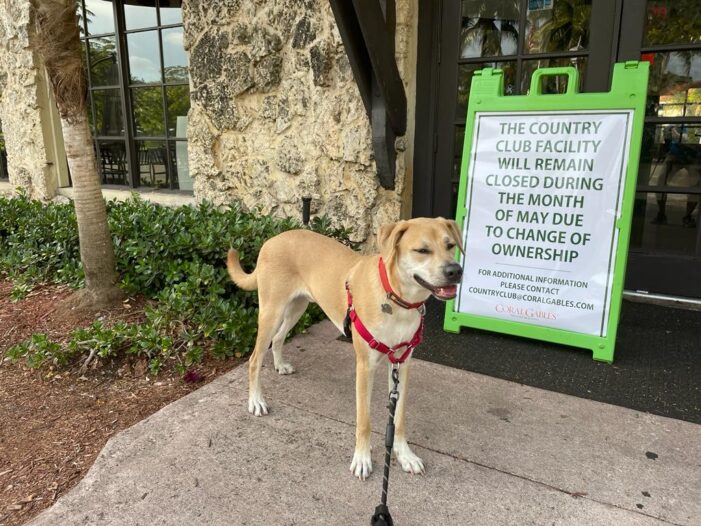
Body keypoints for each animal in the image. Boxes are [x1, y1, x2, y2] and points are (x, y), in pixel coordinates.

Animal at [227, 217, 462, 480]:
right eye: (422, 250)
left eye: (450, 245)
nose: (455, 271)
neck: (396, 299)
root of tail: (272, 240)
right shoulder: (365, 367)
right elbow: (364, 421)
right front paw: (362, 459)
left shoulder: (402, 364)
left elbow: (399, 418)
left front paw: (405, 455)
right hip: (272, 311)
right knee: (255, 359)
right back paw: (256, 400)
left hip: (297, 306)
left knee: (278, 339)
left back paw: (280, 365)